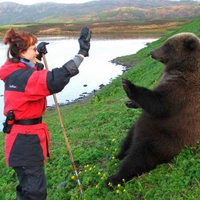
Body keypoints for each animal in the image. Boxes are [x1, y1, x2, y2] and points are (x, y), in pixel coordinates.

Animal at [107, 32, 200, 188]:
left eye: (167, 45)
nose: (151, 52)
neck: (181, 67)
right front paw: (130, 102)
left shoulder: (181, 90)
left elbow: (159, 104)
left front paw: (128, 85)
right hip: (142, 130)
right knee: (130, 136)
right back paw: (119, 154)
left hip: (167, 140)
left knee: (141, 155)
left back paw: (114, 178)